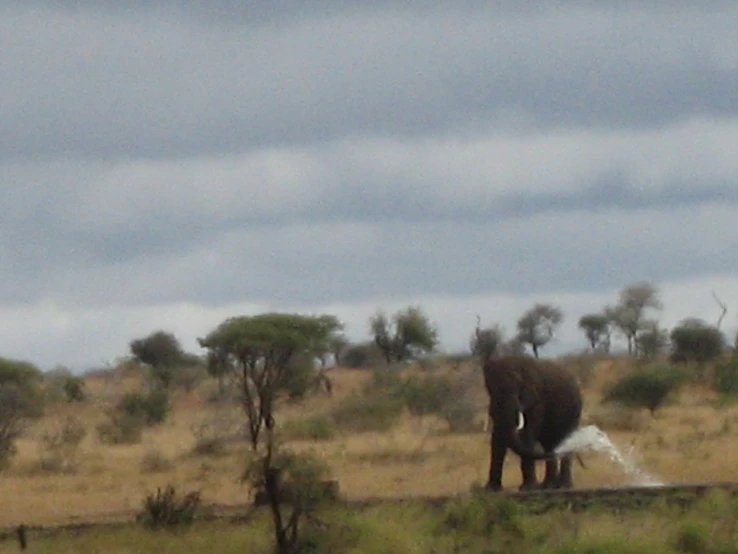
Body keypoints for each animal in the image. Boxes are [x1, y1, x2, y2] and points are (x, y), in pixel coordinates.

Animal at [484, 352, 580, 490]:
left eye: (518, 386)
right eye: (491, 388)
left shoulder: (537, 399)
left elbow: (527, 433)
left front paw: (528, 488)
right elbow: (497, 437)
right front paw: (491, 489)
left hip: (574, 411)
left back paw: (563, 486)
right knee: (549, 444)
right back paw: (548, 485)